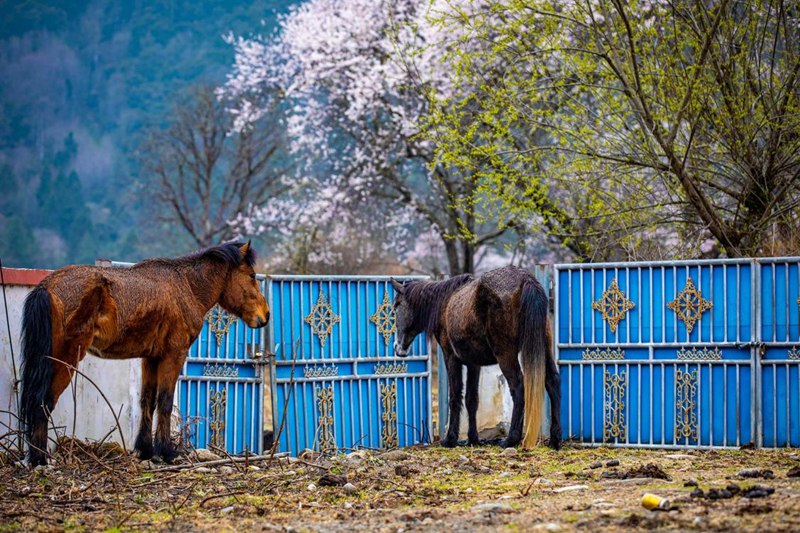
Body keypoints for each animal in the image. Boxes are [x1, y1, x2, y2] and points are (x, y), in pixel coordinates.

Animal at [20, 241, 270, 466]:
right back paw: (39, 459)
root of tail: (47, 286)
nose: (265, 315)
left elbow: (147, 400)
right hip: (65, 359)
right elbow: (165, 401)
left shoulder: (151, 358)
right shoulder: (173, 355)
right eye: (251, 275)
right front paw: (166, 452)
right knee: (42, 402)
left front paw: (145, 450)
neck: (187, 286)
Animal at [390, 266, 560, 448]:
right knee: (552, 382)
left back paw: (511, 439)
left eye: (396, 306)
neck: (445, 303)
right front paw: (473, 439)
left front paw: (450, 439)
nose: (397, 348)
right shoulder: (473, 364)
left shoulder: (451, 358)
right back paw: (555, 439)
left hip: (505, 355)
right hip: (544, 348)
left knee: (518, 387)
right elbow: (471, 399)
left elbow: (455, 396)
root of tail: (526, 280)